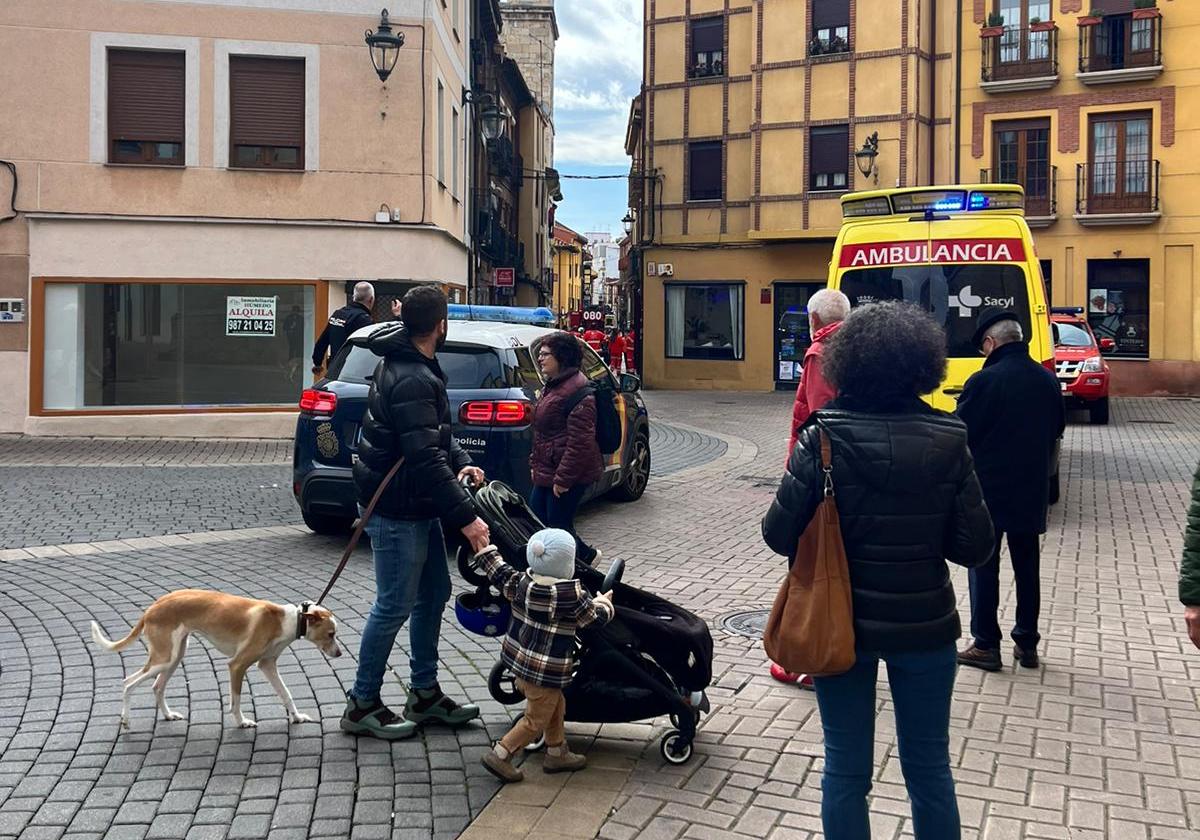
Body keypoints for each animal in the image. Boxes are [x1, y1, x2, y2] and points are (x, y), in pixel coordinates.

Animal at [88, 590, 340, 729]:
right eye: (331, 634)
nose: (339, 654)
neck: (286, 619)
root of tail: (152, 607)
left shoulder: (267, 665)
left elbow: (286, 694)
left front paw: (297, 717)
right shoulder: (237, 665)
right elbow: (235, 701)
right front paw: (242, 722)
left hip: (175, 656)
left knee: (157, 686)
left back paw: (168, 715)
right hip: (164, 658)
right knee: (128, 682)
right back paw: (126, 720)